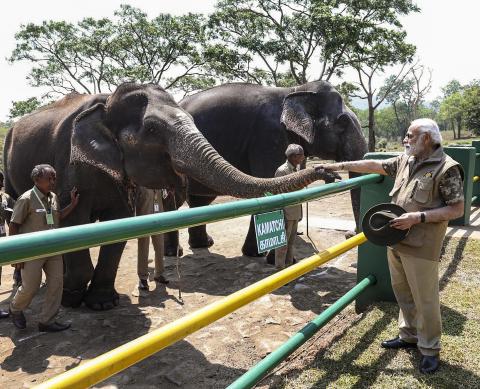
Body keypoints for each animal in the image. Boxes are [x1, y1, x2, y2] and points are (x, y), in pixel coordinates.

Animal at [2, 82, 338, 310]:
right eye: (152, 130)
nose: (329, 172)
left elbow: (118, 228)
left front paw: (102, 303)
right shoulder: (68, 165)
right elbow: (74, 221)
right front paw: (73, 298)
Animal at [162, 81, 368, 258]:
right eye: (343, 122)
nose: (349, 234)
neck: (295, 90)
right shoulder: (268, 137)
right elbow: (268, 184)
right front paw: (258, 255)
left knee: (200, 199)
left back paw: (203, 244)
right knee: (174, 201)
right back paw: (174, 252)